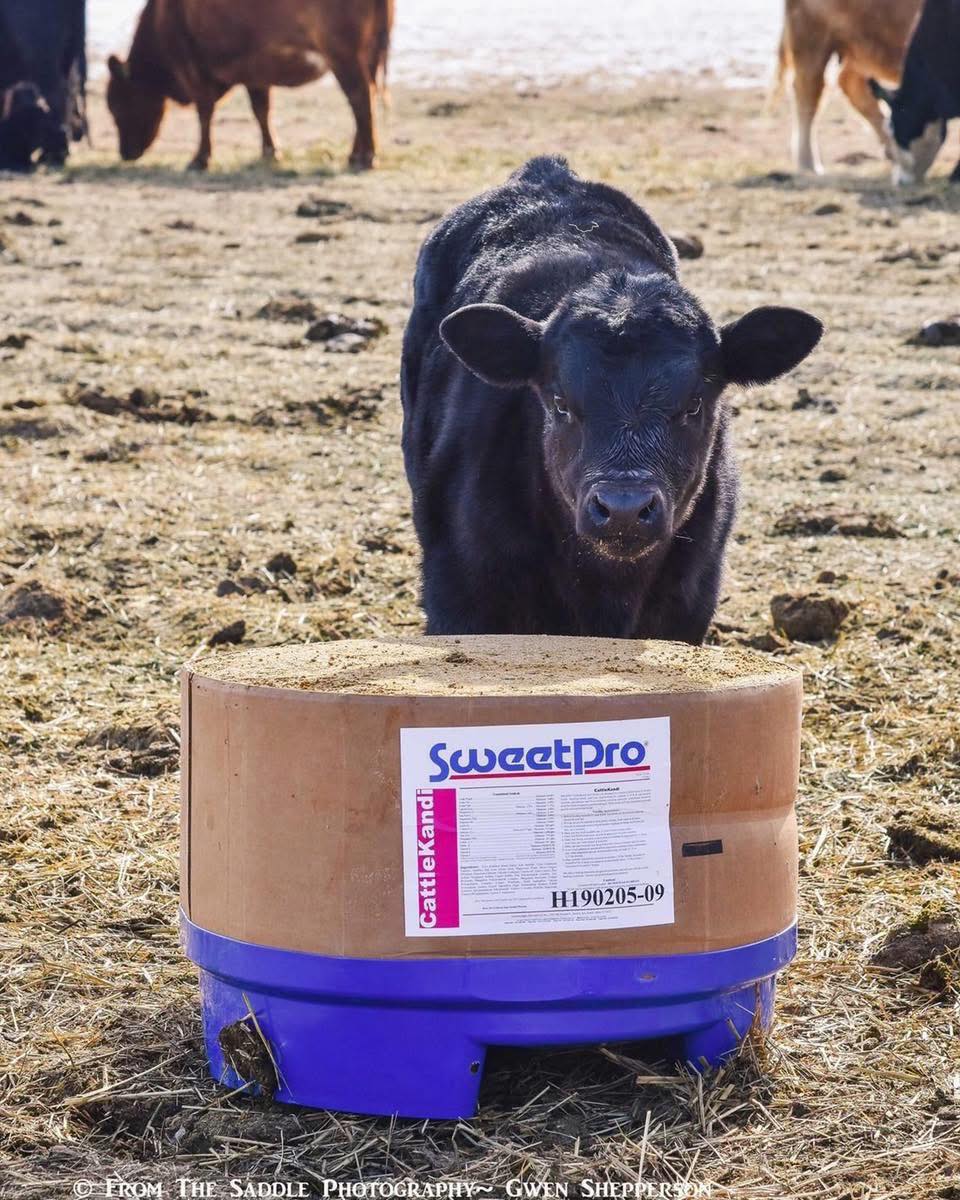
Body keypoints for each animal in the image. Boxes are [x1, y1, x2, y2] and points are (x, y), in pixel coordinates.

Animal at [106, 0, 393, 172]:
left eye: (117, 106)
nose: (124, 153)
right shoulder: (256, 73)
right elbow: (261, 111)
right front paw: (269, 152)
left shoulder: (191, 66)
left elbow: (204, 112)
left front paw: (200, 158)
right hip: (366, 56)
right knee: (364, 103)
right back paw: (356, 155)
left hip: (344, 55)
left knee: (360, 99)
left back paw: (366, 158)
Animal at [775, 0, 923, 173]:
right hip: (813, 41)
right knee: (808, 97)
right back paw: (809, 165)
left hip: (854, 52)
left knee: (848, 83)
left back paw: (894, 150)